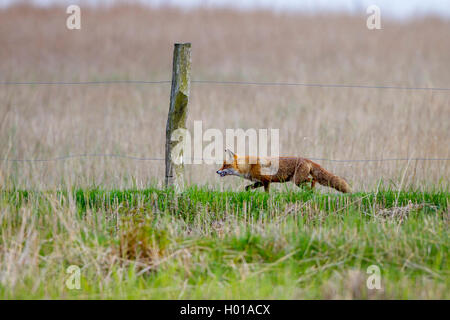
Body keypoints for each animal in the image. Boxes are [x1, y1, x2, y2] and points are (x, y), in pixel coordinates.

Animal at [217, 150, 352, 192]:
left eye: (225, 165)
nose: (217, 171)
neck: (248, 166)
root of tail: (307, 159)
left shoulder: (266, 181)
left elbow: (267, 193)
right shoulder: (259, 181)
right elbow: (247, 188)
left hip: (297, 180)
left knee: (313, 179)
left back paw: (312, 191)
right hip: (298, 180)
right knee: (313, 179)